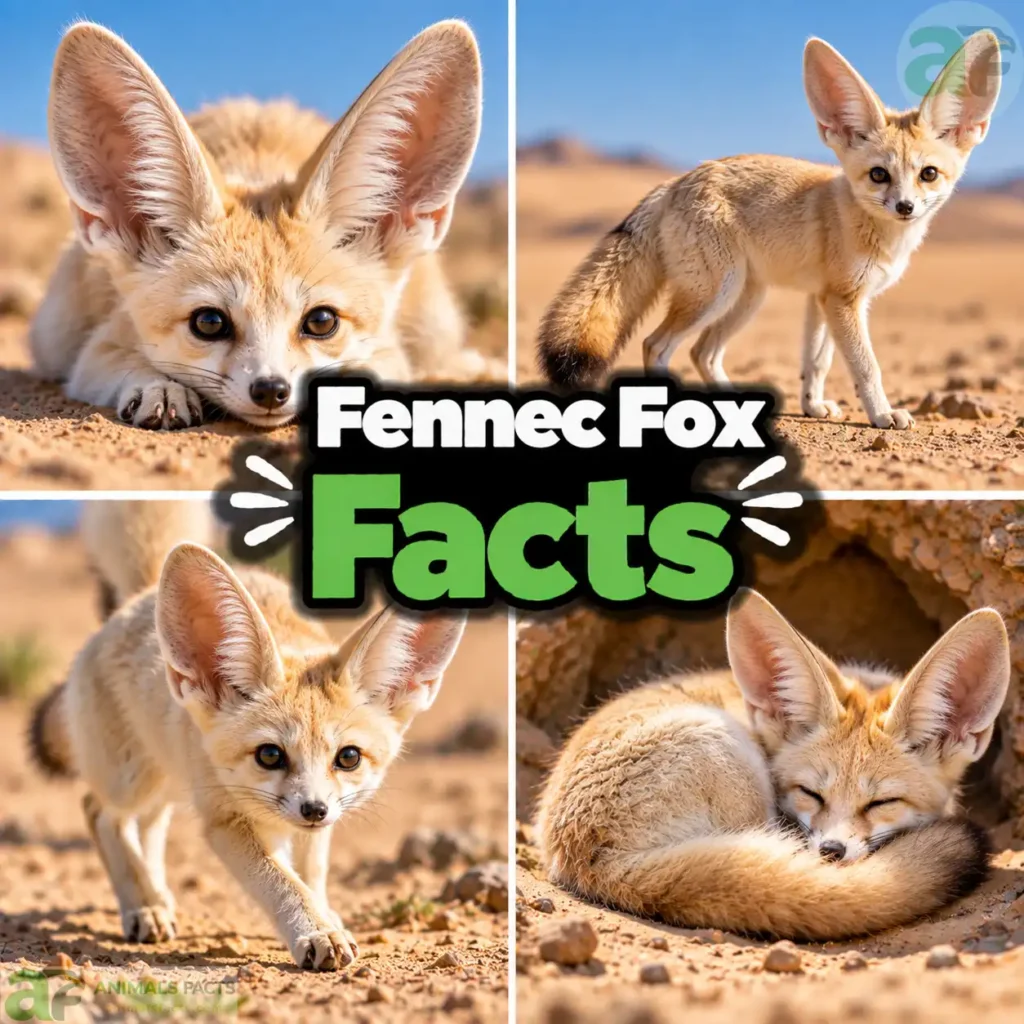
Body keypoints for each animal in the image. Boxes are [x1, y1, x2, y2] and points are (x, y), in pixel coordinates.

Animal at [28, 501, 466, 970]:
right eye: (270, 755)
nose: (313, 809)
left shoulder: (316, 821)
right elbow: (282, 882)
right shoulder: (227, 820)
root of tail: (138, 598)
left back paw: (156, 896)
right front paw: (316, 930)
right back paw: (142, 906)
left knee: (147, 824)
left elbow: (311, 873)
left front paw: (325, 914)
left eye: (348, 757)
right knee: (99, 811)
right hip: (132, 781)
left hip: (167, 778)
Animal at [30, 19, 496, 431]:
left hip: (434, 322)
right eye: (209, 322)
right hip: (57, 326)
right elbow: (126, 361)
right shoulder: (96, 348)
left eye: (322, 321)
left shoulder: (389, 349)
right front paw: (160, 387)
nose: (271, 389)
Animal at [536, 31, 1001, 430]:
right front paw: (883, 415)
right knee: (657, 344)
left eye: (928, 174)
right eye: (878, 175)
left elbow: (816, 362)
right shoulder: (844, 301)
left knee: (702, 352)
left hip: (746, 297)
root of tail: (677, 180)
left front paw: (813, 406)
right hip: (716, 293)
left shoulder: (823, 299)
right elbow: (866, 366)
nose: (905, 207)